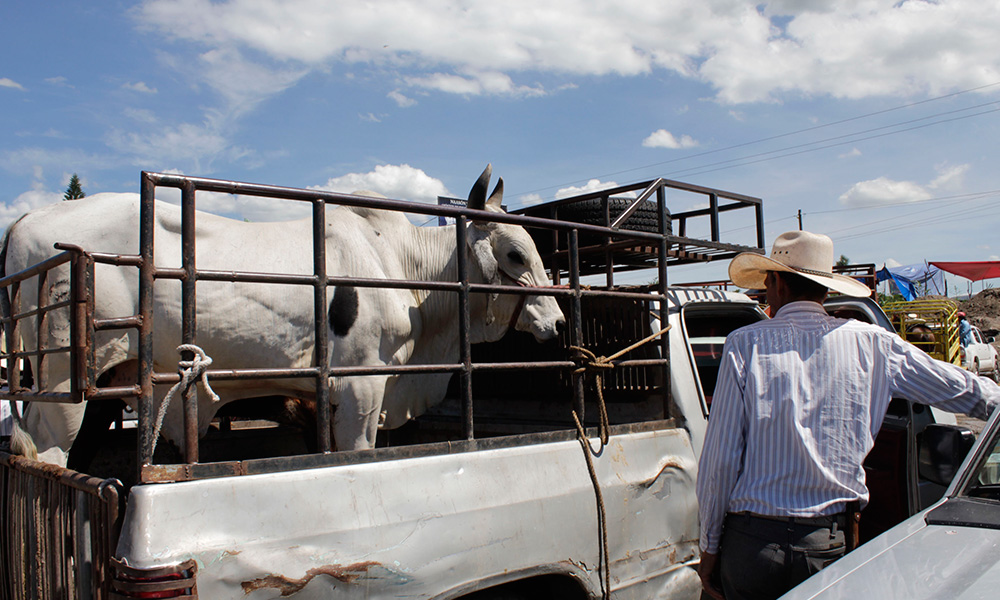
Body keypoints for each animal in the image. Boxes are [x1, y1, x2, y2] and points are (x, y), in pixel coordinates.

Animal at [3, 166, 564, 466]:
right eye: (515, 253)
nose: (558, 322)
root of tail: (28, 218)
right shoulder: (361, 387)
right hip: (67, 381)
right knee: (51, 452)